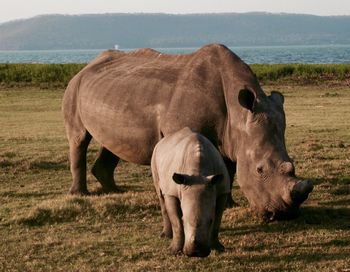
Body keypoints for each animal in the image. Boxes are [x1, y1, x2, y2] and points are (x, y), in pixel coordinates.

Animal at [151, 127, 230, 258]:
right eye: (184, 220)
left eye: (210, 221)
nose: (197, 253)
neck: (198, 172)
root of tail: (163, 140)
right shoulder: (172, 192)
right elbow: (176, 223)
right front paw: (173, 251)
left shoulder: (222, 190)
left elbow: (217, 221)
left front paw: (218, 248)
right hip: (155, 155)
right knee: (160, 193)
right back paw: (165, 236)